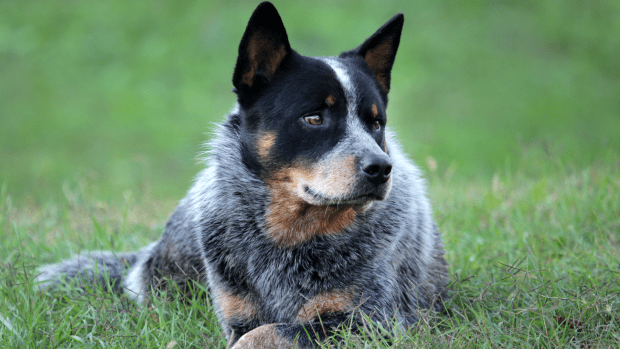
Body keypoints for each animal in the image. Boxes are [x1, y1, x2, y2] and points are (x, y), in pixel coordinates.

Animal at [36, 2, 448, 346]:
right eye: (314, 117)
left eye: (375, 123)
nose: (380, 168)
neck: (287, 240)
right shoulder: (238, 315)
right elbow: (251, 331)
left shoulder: (365, 321)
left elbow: (267, 334)